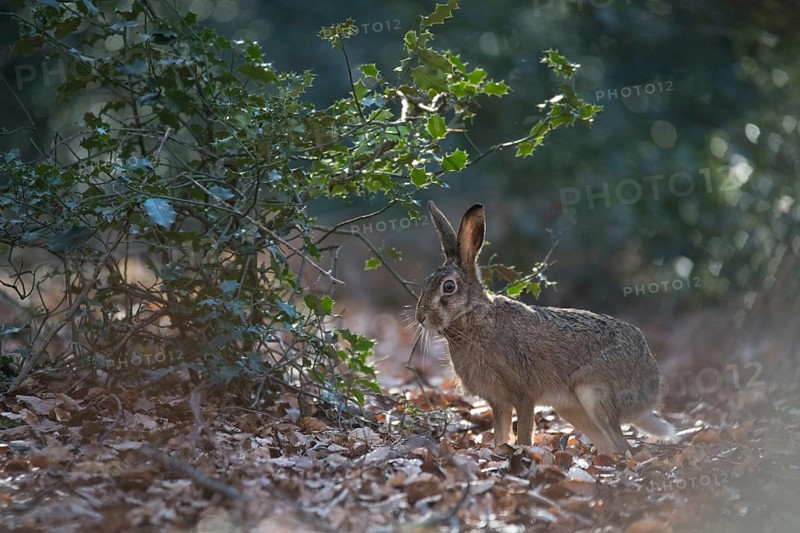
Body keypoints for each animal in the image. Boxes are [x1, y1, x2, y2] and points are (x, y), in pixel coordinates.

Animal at [415, 201, 676, 454]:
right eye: (426, 283)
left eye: (449, 287)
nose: (421, 317)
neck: (474, 317)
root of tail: (651, 387)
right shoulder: (499, 401)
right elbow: (501, 436)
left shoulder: (523, 394)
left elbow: (523, 434)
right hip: (570, 408)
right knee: (610, 446)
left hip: (593, 391)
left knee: (622, 447)